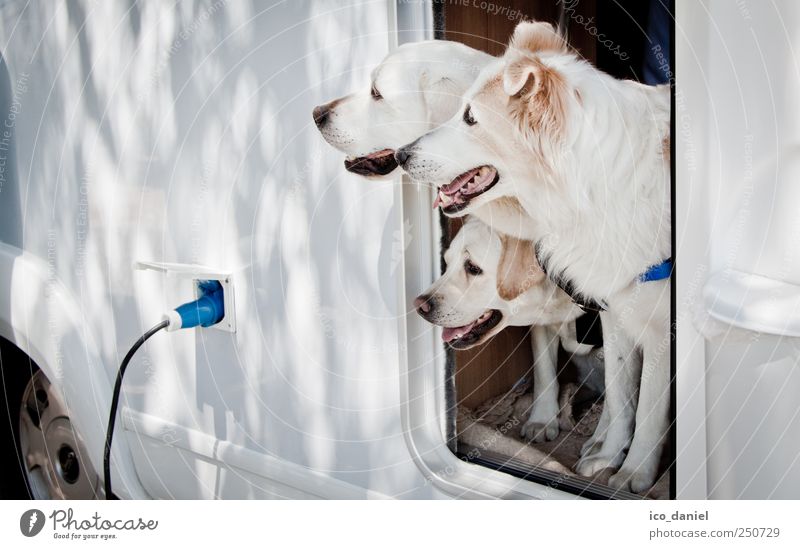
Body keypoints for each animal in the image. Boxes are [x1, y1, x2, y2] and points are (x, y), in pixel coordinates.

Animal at [396, 22, 672, 492]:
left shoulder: (660, 329)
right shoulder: (614, 308)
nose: (401, 155)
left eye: (471, 117)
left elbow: (649, 409)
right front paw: (604, 454)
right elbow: (618, 396)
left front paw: (634, 472)